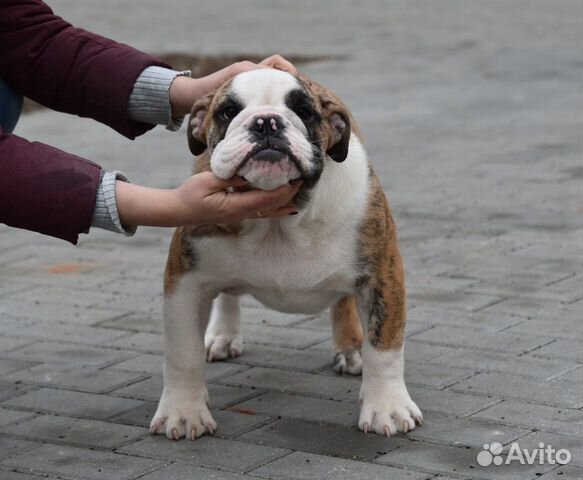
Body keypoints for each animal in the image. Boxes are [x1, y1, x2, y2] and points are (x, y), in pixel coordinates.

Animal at [151, 67, 424, 438]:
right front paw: (183, 412)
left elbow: (385, 347)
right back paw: (223, 335)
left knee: (345, 305)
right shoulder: (185, 282)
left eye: (304, 112)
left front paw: (388, 407)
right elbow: (183, 353)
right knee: (227, 295)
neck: (278, 222)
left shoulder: (382, 274)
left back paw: (351, 348)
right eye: (228, 112)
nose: (266, 122)